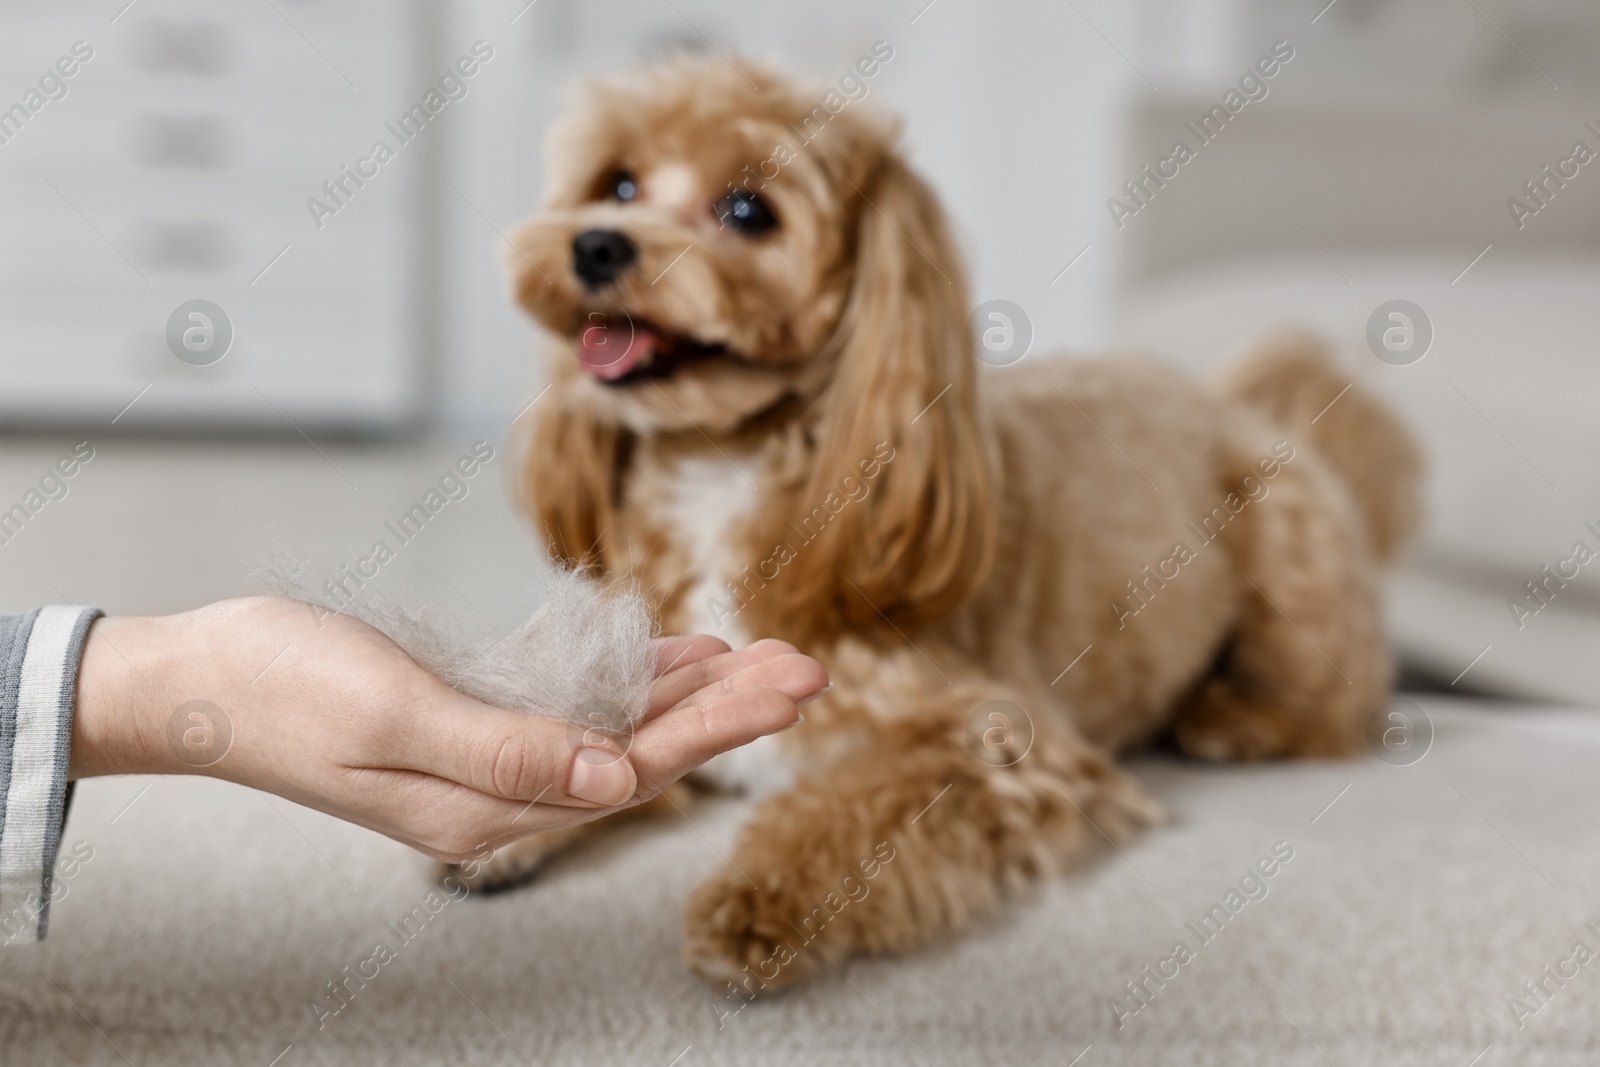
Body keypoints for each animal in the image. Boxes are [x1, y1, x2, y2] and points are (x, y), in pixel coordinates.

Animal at [480, 56, 1420, 991]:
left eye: (748, 210)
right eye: (618, 184)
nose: (595, 244)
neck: (733, 468)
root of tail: (1238, 402)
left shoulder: (998, 742)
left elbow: (851, 807)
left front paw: (757, 902)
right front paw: (507, 822)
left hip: (1292, 556)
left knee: (1341, 710)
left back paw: (1238, 720)